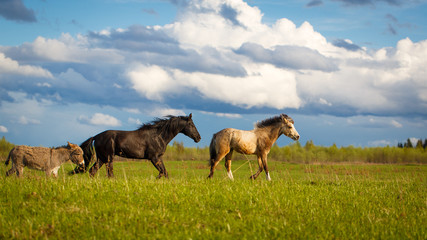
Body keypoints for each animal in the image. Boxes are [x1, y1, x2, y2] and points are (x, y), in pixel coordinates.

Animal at [72, 113, 201, 177]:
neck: (158, 136)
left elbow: (164, 172)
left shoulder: (159, 158)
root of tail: (96, 136)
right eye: (191, 124)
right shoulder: (153, 158)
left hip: (102, 158)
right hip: (109, 158)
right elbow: (162, 172)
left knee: (92, 171)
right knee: (109, 174)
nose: (199, 138)